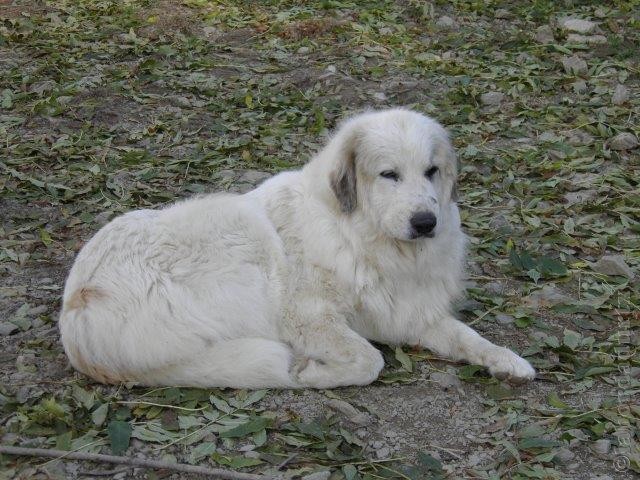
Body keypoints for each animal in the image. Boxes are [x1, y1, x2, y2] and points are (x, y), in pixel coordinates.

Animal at [60, 109, 536, 390]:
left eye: (432, 171)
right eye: (389, 175)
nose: (425, 223)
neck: (362, 238)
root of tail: (75, 313)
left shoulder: (407, 314)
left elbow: (468, 337)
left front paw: (507, 360)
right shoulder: (310, 317)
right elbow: (369, 360)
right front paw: (313, 372)